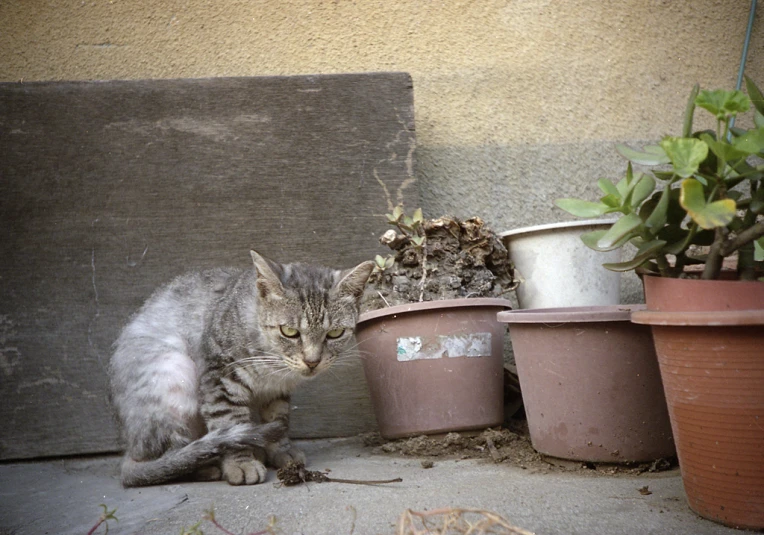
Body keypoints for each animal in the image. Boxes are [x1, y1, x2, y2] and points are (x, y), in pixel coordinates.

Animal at [109, 251, 374, 486]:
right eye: (289, 331)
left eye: (335, 333)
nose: (312, 361)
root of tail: (129, 443)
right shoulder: (220, 377)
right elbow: (230, 420)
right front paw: (241, 463)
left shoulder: (276, 391)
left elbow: (278, 417)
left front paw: (281, 450)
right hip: (174, 371)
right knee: (173, 454)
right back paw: (203, 465)